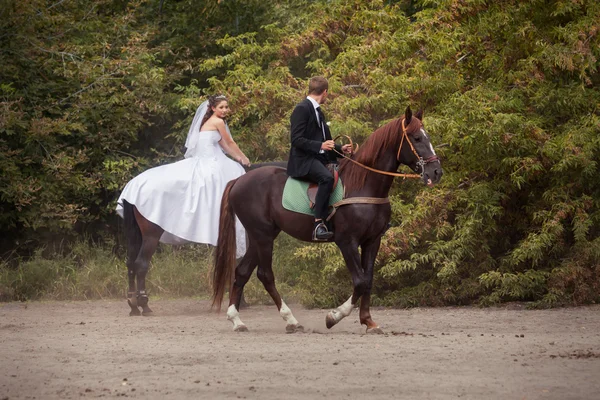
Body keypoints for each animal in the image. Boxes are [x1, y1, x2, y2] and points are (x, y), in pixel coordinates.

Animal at [121, 160, 286, 316]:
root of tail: (133, 187)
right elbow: (237, 264)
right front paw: (239, 302)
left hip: (136, 236)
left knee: (130, 264)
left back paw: (133, 305)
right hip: (151, 236)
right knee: (141, 264)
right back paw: (144, 304)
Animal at [210, 107, 440, 334]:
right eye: (417, 138)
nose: (436, 171)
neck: (363, 185)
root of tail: (239, 180)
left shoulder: (373, 241)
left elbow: (369, 280)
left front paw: (368, 321)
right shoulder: (347, 242)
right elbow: (360, 281)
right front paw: (334, 316)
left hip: (261, 236)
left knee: (242, 272)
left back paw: (237, 320)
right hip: (263, 235)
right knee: (265, 274)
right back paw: (291, 320)